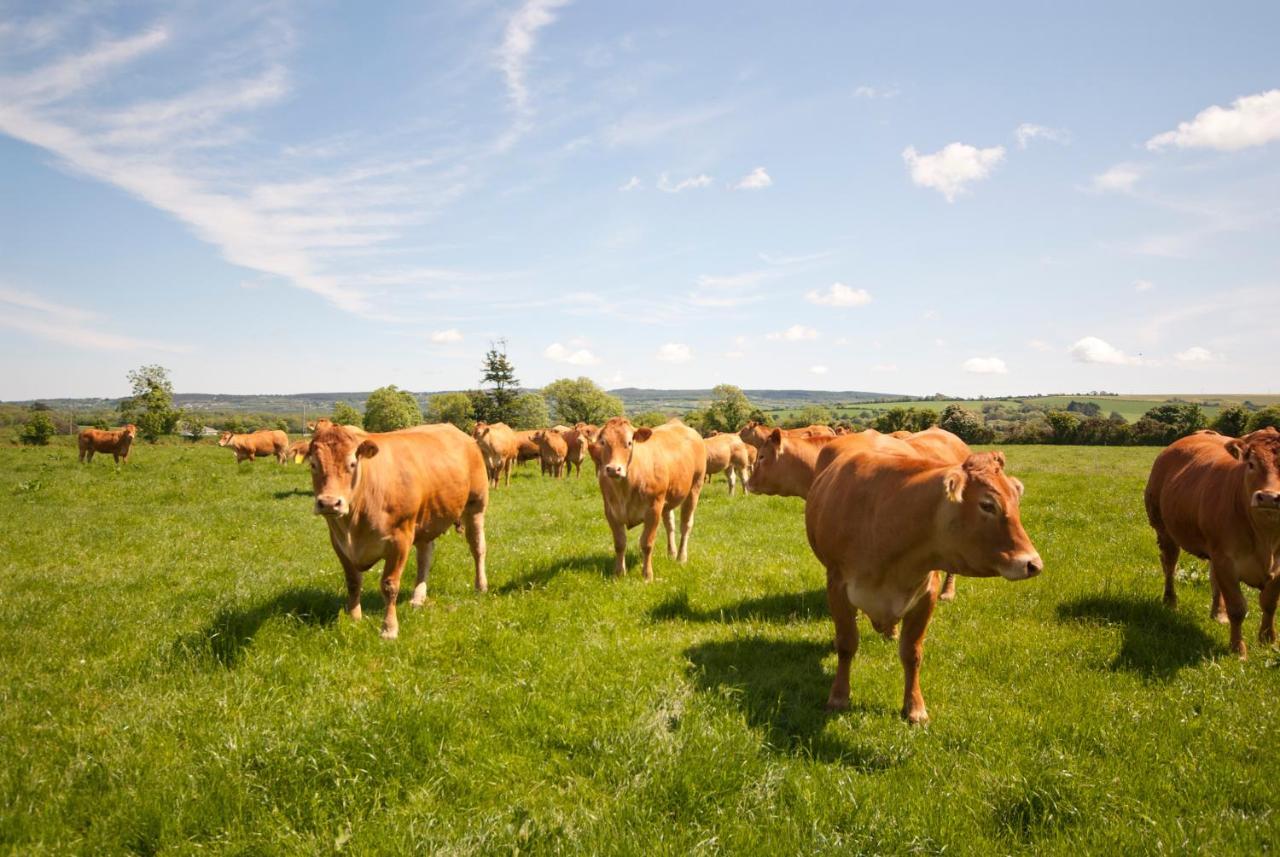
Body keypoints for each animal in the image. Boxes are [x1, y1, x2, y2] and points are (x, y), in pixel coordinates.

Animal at [308, 422, 488, 636]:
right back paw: (418, 597)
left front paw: (389, 628)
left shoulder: (400, 539)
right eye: (313, 464)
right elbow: (353, 582)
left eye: (352, 464)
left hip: (476, 505)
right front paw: (354, 619)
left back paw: (481, 586)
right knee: (425, 557)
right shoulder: (339, 542)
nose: (329, 503)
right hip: (425, 521)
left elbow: (390, 585)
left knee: (477, 548)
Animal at [591, 416, 706, 580]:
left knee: (686, 525)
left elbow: (647, 543)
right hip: (668, 499)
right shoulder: (610, 511)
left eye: (629, 443)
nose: (613, 469)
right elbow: (619, 543)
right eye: (603, 442)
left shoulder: (653, 509)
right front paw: (619, 573)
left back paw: (681, 557)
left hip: (695, 487)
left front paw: (647, 575)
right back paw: (671, 553)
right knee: (670, 524)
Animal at [808, 450, 1039, 726]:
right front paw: (838, 697)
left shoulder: (926, 594)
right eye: (987, 504)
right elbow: (846, 644)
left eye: (1016, 501)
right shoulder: (837, 585)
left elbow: (912, 653)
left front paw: (914, 707)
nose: (1033, 563)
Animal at [1141, 427, 1280, 660]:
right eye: (1251, 464)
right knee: (1169, 566)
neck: (1266, 538)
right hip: (1165, 531)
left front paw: (1268, 640)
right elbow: (1237, 608)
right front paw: (1238, 649)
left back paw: (1218, 613)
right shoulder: (1226, 560)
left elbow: (1269, 603)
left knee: (1213, 578)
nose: (1269, 497)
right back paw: (1170, 601)